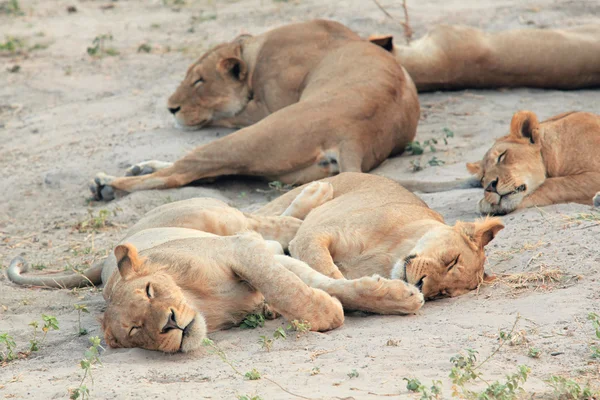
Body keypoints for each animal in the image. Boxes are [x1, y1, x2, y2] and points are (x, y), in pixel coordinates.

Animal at [89, 19, 420, 200]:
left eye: (198, 80)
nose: (171, 108)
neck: (252, 51)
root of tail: (357, 138)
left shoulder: (265, 106)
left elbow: (227, 115)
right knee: (198, 172)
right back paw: (138, 168)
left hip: (255, 135)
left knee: (181, 174)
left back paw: (107, 184)